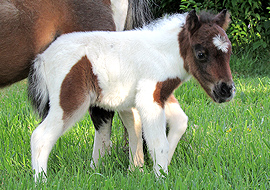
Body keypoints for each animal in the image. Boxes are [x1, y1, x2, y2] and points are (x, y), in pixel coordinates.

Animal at [28, 9, 234, 180]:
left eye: (229, 51)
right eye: (201, 54)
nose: (227, 90)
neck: (162, 54)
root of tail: (42, 58)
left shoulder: (161, 95)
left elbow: (180, 122)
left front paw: (156, 167)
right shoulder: (149, 98)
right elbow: (158, 141)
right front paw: (161, 177)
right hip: (70, 101)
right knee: (41, 136)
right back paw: (41, 180)